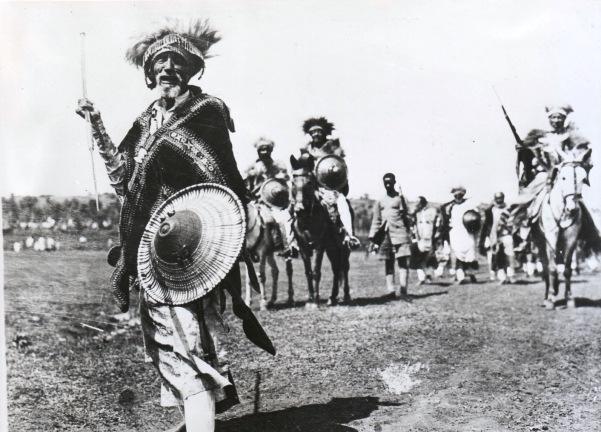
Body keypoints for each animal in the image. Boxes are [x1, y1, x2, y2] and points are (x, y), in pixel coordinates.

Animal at [288, 155, 350, 308]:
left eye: (310, 182)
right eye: (292, 182)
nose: (299, 210)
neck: (308, 220)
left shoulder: (319, 246)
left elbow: (316, 271)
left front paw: (315, 301)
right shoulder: (303, 247)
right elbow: (308, 272)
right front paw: (310, 300)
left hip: (343, 247)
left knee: (344, 267)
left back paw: (346, 296)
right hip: (332, 248)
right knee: (336, 268)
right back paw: (332, 297)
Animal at [532, 154, 588, 308]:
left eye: (583, 178)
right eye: (563, 178)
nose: (573, 209)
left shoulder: (571, 239)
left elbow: (568, 269)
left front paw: (570, 298)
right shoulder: (550, 237)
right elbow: (551, 268)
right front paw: (551, 299)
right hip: (540, 243)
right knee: (546, 268)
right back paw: (547, 297)